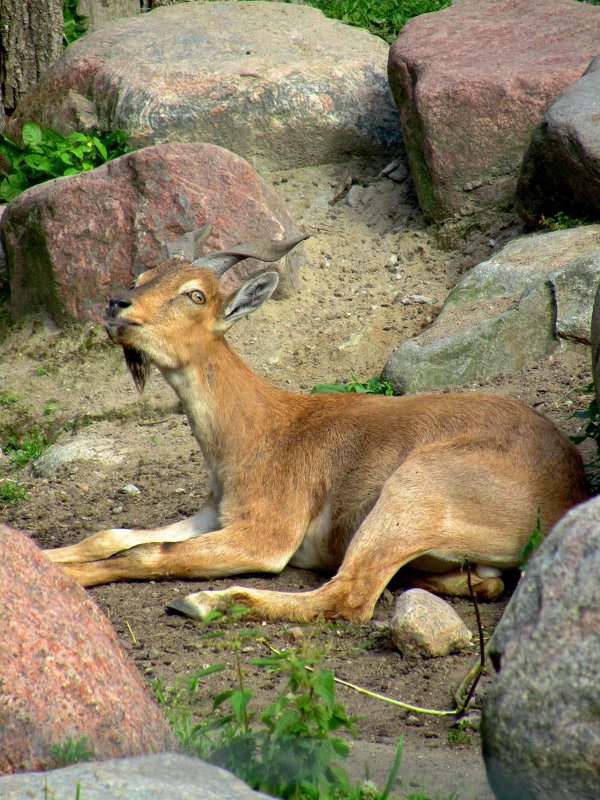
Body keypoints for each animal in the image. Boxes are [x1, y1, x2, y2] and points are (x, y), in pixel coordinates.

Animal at [44, 228, 588, 620]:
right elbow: (111, 536)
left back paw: (208, 602)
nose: (117, 306)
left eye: (195, 295)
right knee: (474, 582)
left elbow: (143, 553)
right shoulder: (215, 514)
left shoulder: (268, 531)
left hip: (412, 494)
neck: (260, 431)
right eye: (144, 273)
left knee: (350, 596)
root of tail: (567, 491)